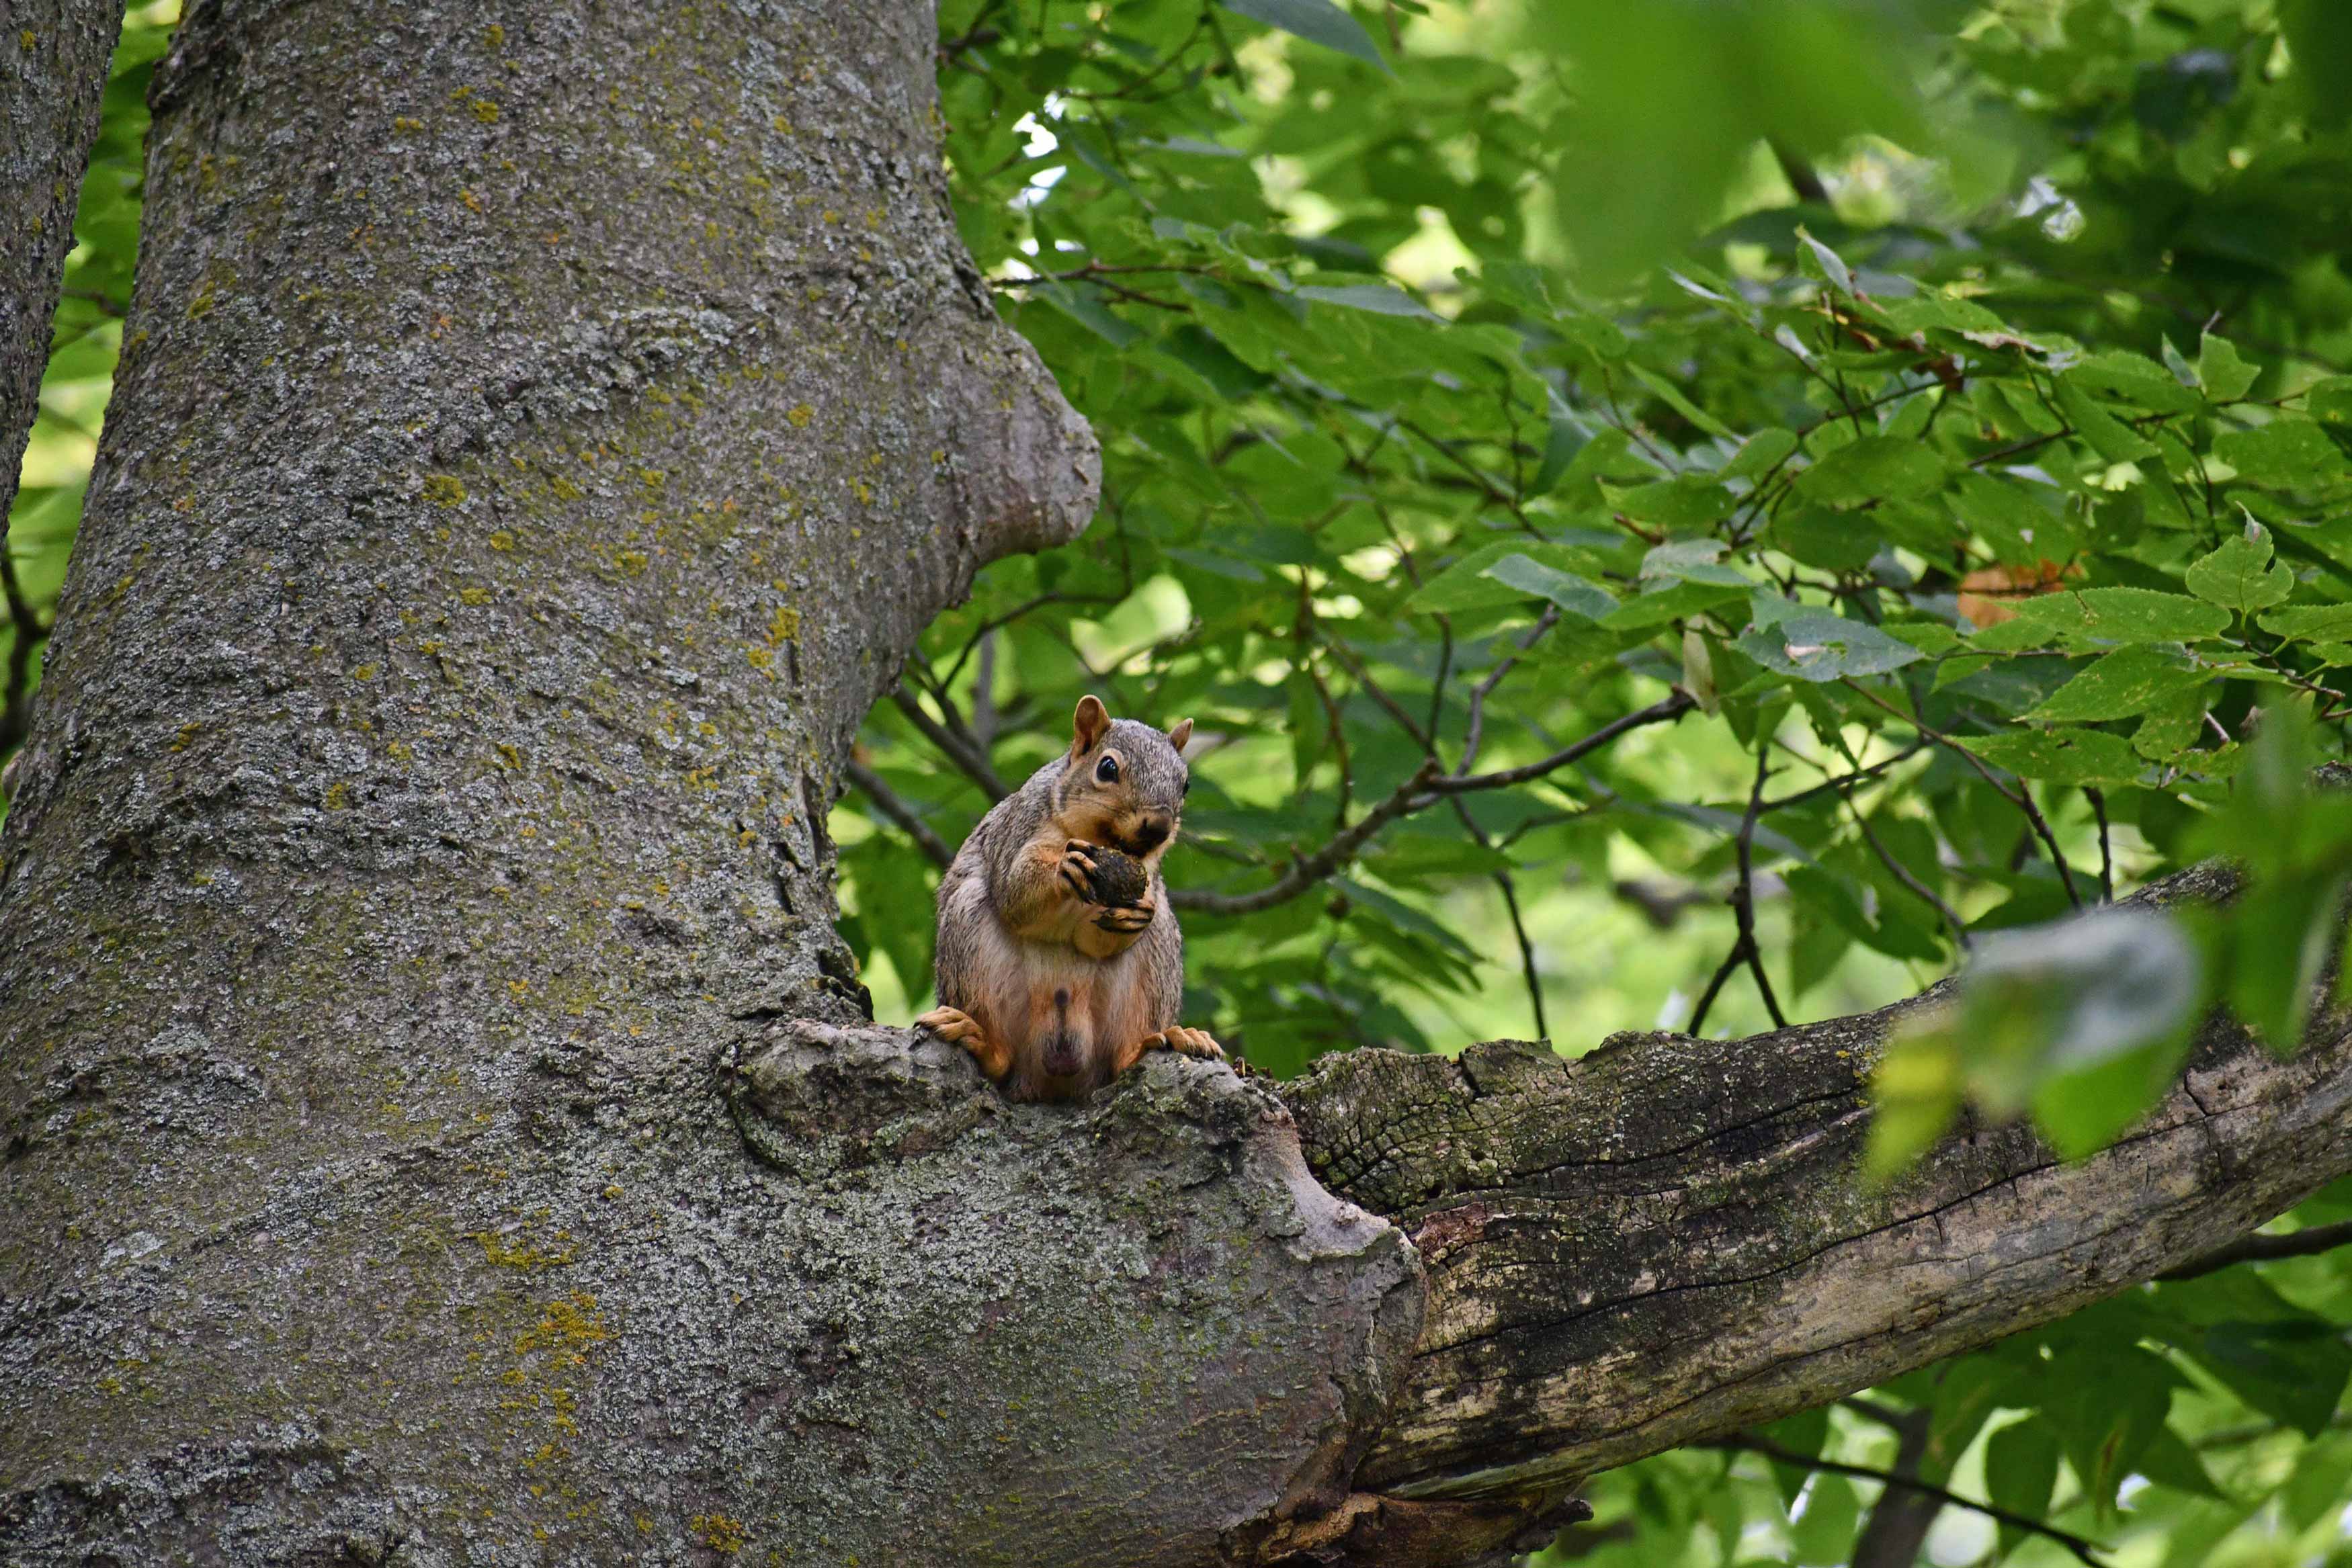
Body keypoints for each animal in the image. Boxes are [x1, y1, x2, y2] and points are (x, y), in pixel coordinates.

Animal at [913, 691, 1223, 1100]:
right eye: (1107, 768)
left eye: (1185, 784)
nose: (1158, 827)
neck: (1098, 840)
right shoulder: (1019, 831)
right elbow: (1016, 897)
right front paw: (1063, 868)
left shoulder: (1147, 878)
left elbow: (1093, 941)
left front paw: (1133, 915)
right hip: (970, 936)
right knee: (1000, 1063)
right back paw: (977, 1039)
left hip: (1155, 958)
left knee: (1122, 1059)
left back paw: (1158, 1042)